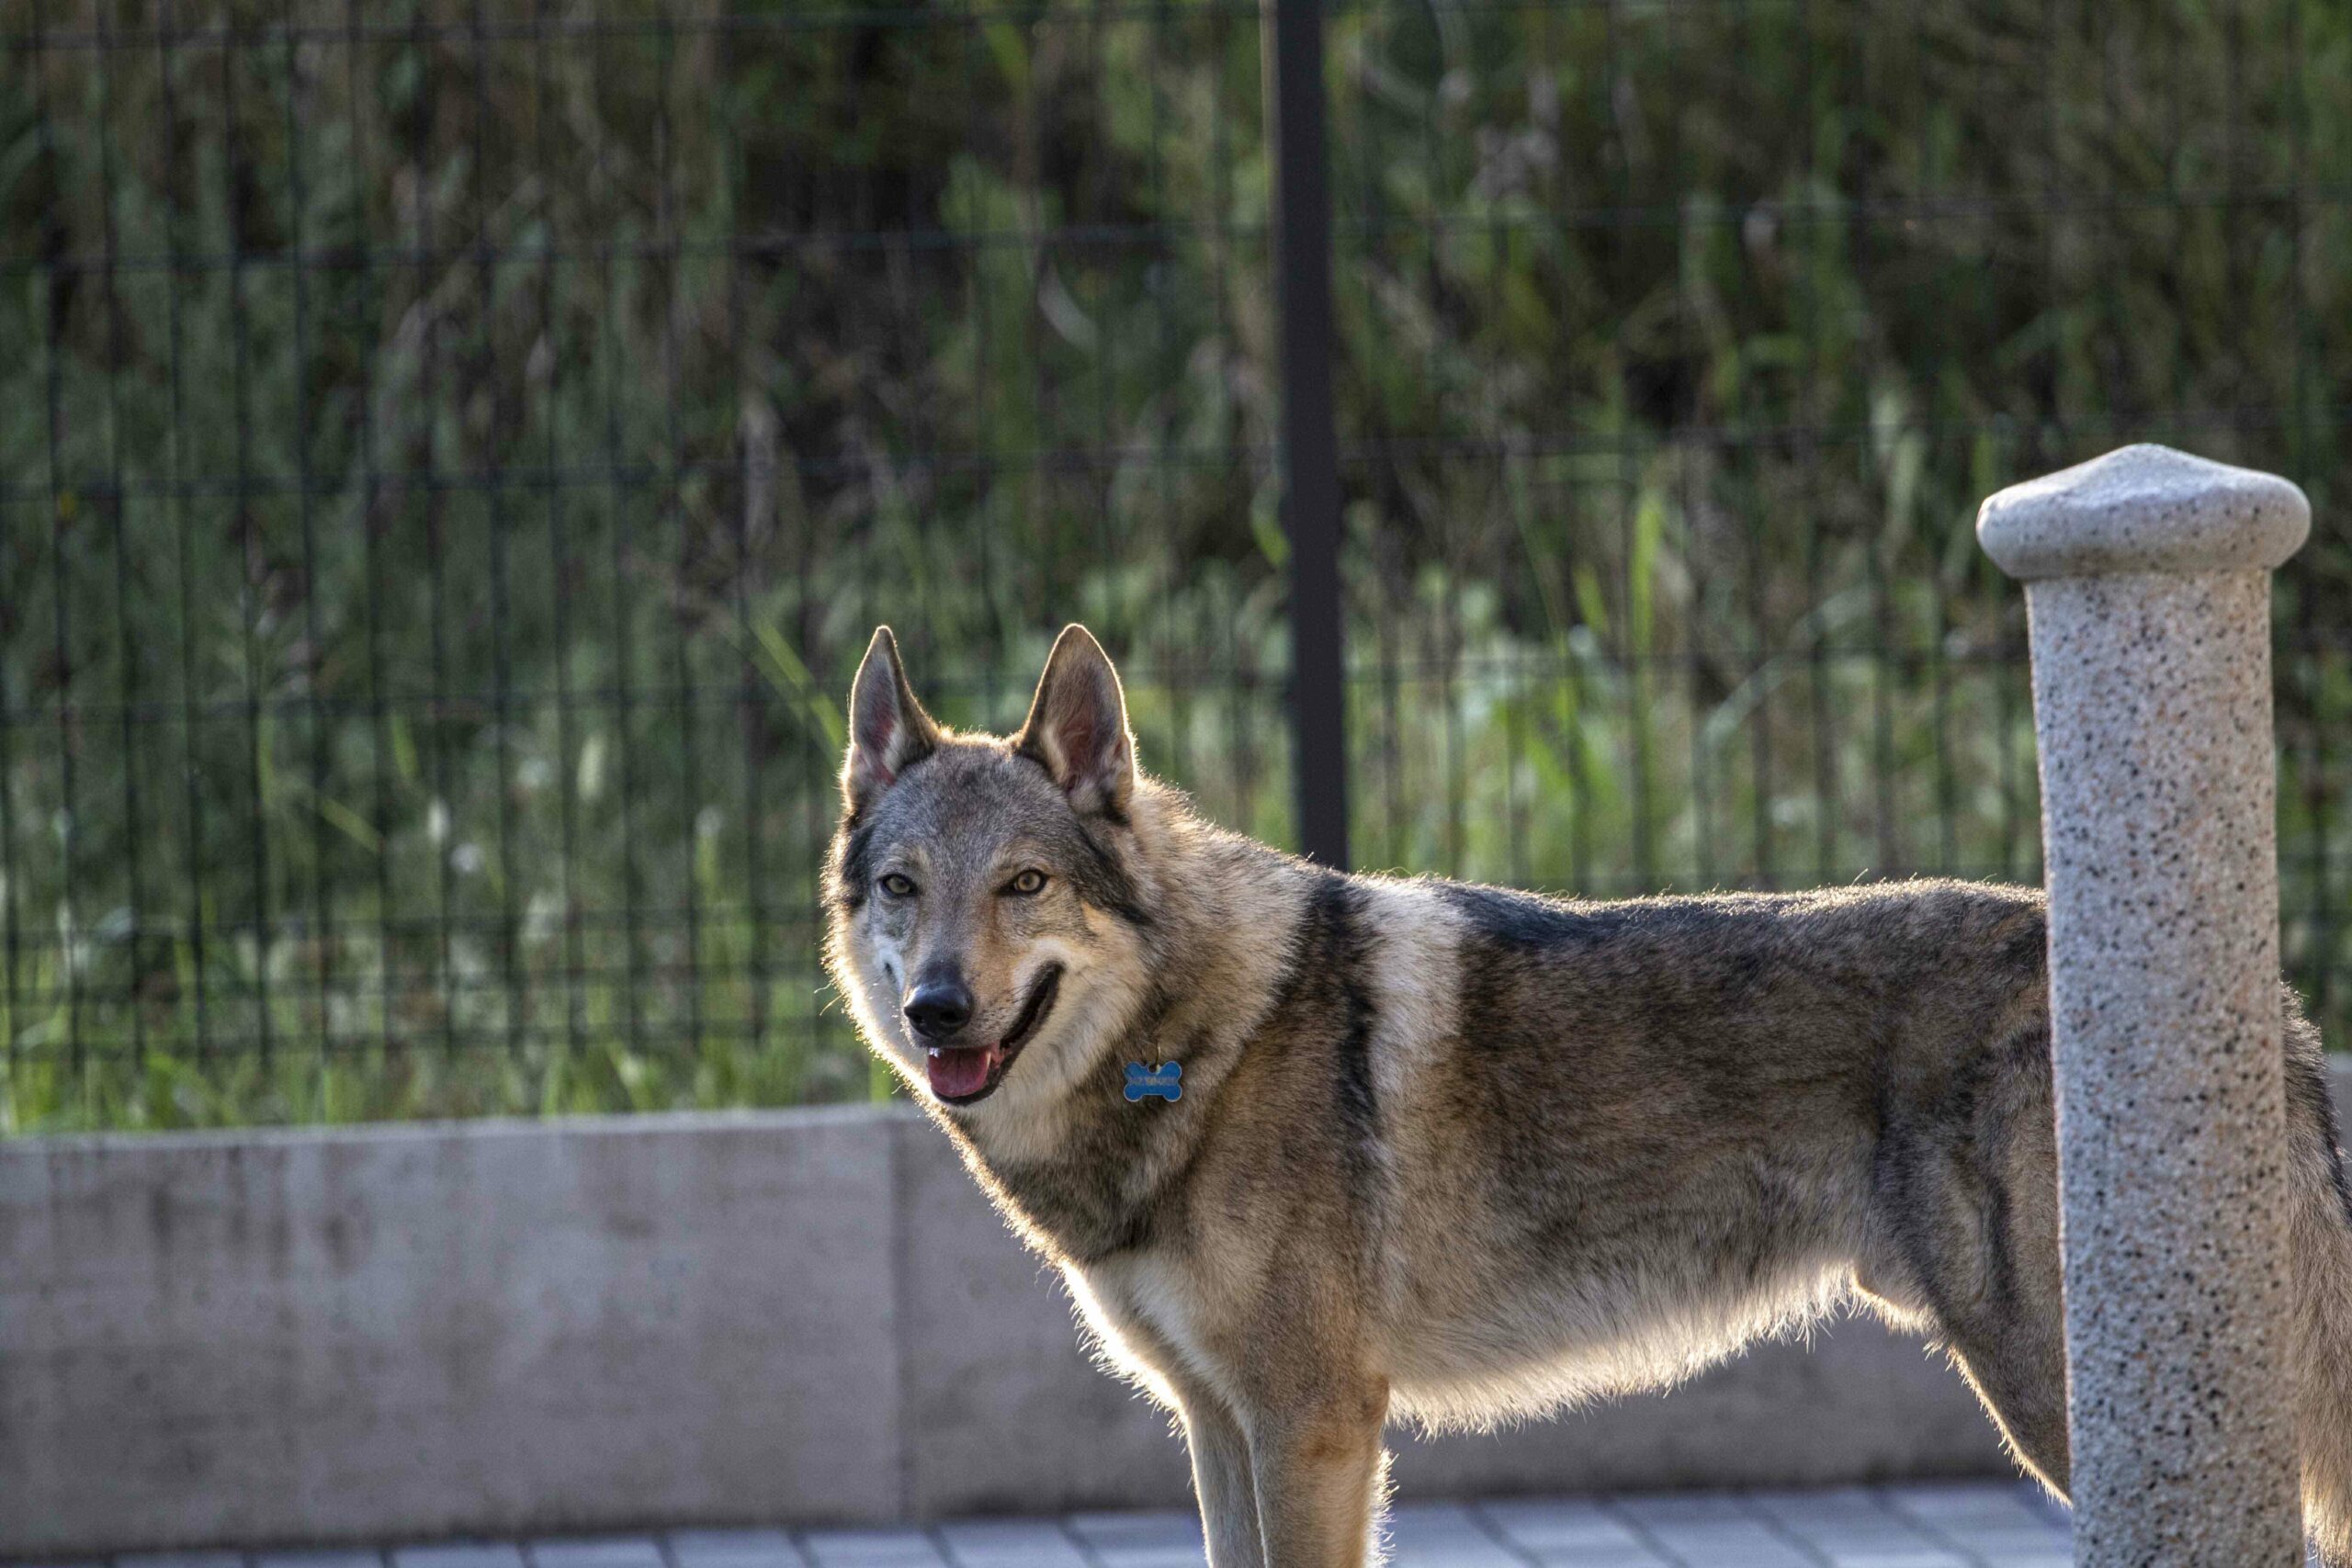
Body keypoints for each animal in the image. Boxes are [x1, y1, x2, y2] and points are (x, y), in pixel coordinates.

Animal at [824, 623, 2352, 1568]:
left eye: (1024, 883)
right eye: (903, 886)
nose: (938, 1008)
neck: (1204, 1034)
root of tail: (2272, 1006)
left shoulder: (1315, 1422)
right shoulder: (1217, 1422)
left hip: (2068, 1401)